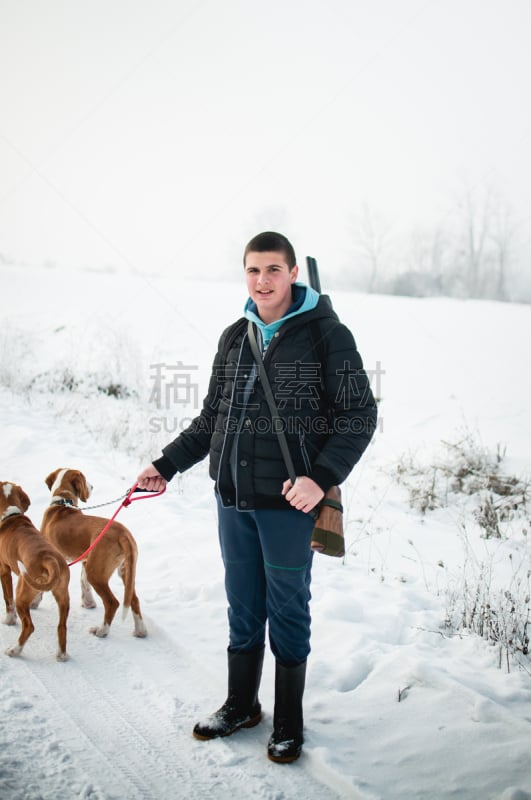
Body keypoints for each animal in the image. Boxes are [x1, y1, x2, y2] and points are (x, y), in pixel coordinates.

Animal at [0, 482, 70, 664]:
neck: (11, 514)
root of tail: (49, 558)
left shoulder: (4, 570)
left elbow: (7, 600)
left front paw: (9, 621)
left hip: (22, 594)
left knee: (29, 626)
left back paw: (15, 650)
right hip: (62, 596)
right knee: (62, 627)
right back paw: (61, 655)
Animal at [41, 468, 148, 636]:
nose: (92, 487)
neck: (63, 503)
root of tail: (122, 533)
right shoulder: (85, 561)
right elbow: (83, 582)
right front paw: (88, 603)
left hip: (96, 573)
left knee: (112, 602)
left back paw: (102, 630)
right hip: (125, 571)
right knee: (133, 599)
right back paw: (140, 631)